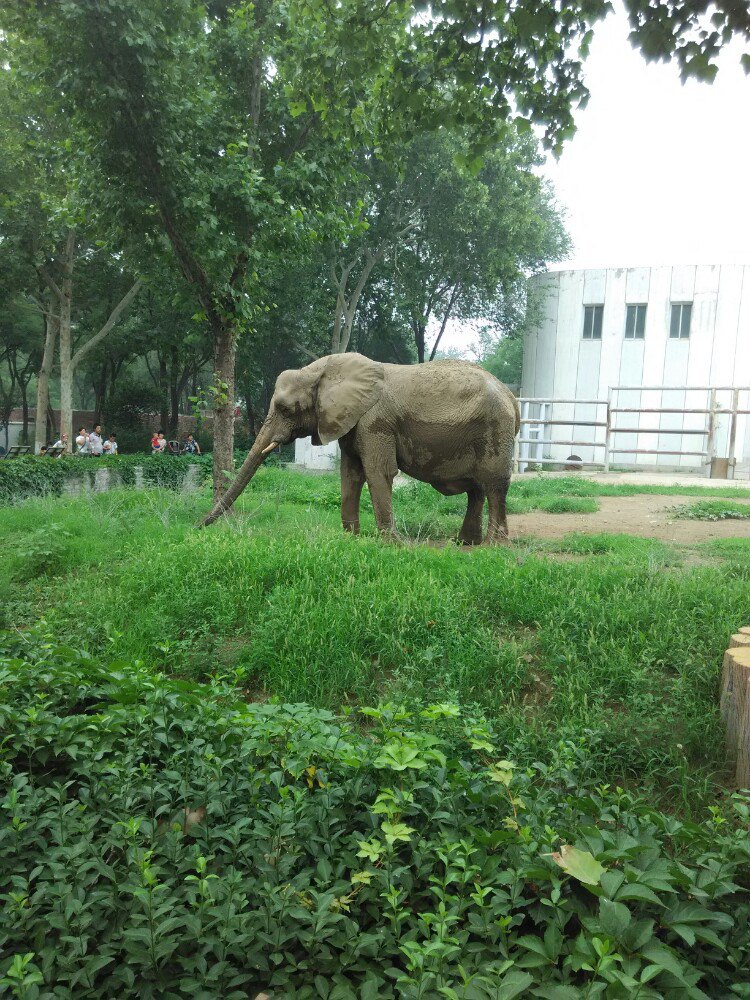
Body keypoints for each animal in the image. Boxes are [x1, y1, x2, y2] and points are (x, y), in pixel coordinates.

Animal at [200, 350, 520, 544]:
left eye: (285, 409)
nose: (198, 526)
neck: (325, 371)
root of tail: (511, 398)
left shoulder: (374, 421)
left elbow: (379, 472)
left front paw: (391, 544)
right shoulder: (352, 422)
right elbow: (350, 474)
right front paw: (351, 538)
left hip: (495, 428)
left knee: (493, 484)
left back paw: (492, 545)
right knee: (476, 489)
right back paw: (465, 542)